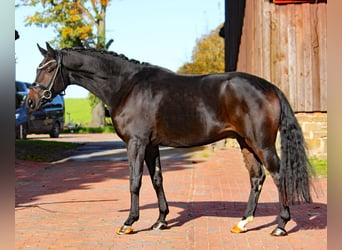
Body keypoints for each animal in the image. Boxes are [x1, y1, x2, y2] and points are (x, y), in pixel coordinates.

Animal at [26, 43, 314, 236]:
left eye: (49, 68)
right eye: (38, 68)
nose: (29, 101)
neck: (127, 86)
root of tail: (271, 87)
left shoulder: (136, 143)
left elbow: (135, 182)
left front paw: (129, 223)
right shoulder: (151, 145)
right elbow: (156, 180)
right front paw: (160, 221)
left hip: (261, 143)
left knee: (278, 175)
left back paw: (281, 225)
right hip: (245, 143)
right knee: (257, 178)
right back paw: (243, 223)